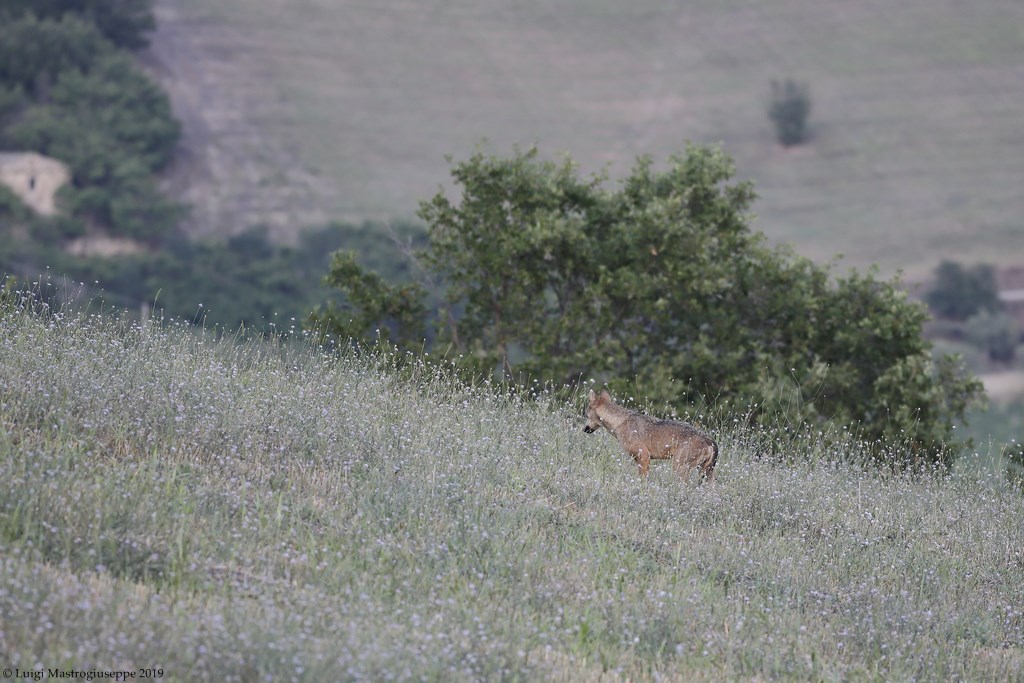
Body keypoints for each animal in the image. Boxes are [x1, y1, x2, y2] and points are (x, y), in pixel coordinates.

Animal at [582, 389, 718, 482]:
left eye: (585, 415)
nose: (584, 429)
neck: (620, 422)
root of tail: (709, 440)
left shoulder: (644, 456)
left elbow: (643, 480)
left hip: (679, 467)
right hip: (705, 473)